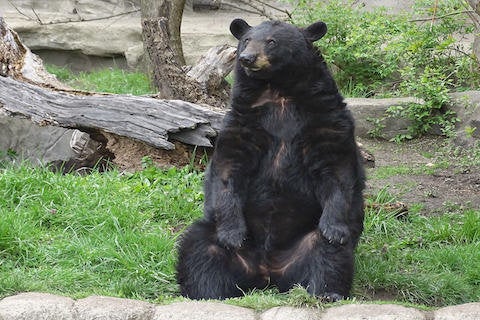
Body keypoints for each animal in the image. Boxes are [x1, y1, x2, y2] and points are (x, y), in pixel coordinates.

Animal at [176, 18, 364, 302]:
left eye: (271, 42)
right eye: (245, 40)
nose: (247, 58)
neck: (278, 90)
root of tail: (267, 272)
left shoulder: (326, 117)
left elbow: (336, 169)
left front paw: (334, 227)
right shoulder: (242, 119)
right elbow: (228, 168)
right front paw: (232, 235)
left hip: (308, 240)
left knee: (328, 255)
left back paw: (326, 292)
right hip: (213, 233)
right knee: (199, 250)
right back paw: (207, 292)